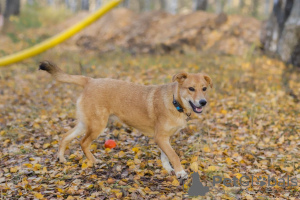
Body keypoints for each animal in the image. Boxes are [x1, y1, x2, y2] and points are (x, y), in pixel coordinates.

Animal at [39, 61, 213, 180]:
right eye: (191, 88)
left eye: (204, 88)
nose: (203, 102)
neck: (174, 102)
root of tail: (90, 80)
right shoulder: (160, 137)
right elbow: (174, 155)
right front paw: (180, 172)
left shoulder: (165, 138)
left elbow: (166, 155)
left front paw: (168, 169)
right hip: (97, 126)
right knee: (83, 142)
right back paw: (93, 161)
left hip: (85, 123)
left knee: (65, 137)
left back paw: (61, 158)